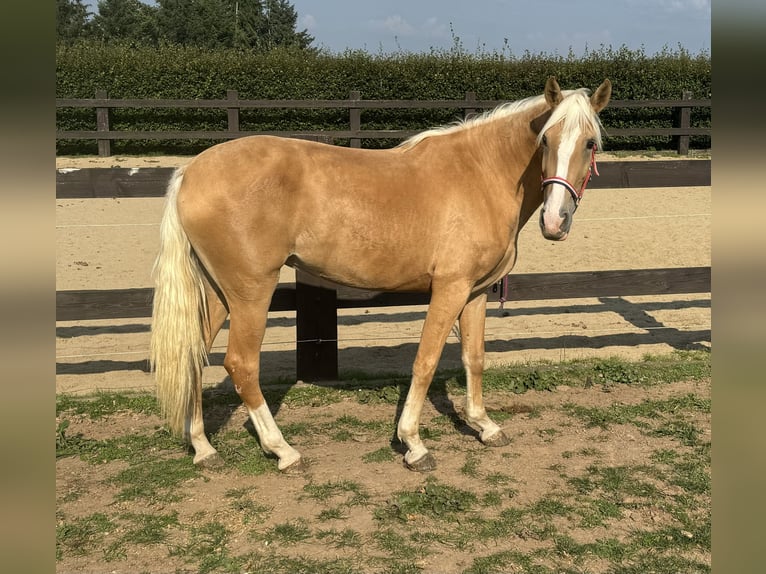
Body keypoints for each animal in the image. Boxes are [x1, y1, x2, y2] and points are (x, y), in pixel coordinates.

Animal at [153, 76, 616, 472]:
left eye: (590, 143)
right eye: (546, 140)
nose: (555, 222)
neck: (482, 174)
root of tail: (190, 171)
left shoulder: (476, 293)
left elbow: (474, 357)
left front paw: (484, 426)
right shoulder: (450, 289)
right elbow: (426, 361)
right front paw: (413, 444)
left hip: (219, 293)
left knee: (193, 356)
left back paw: (204, 448)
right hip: (252, 292)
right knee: (242, 364)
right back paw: (283, 450)